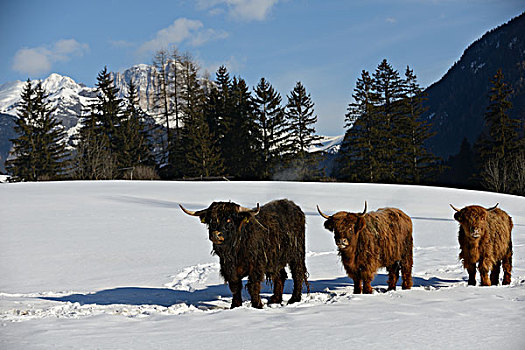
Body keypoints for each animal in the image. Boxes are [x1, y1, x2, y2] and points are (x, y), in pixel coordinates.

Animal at [180, 200, 310, 308]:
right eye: (211, 220)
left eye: (229, 220)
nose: (216, 235)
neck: (234, 251)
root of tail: (293, 206)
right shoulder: (229, 268)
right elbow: (235, 286)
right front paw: (235, 306)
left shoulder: (256, 267)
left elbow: (253, 286)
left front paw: (257, 305)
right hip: (275, 260)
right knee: (280, 276)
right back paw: (275, 300)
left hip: (297, 254)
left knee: (298, 274)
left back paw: (294, 299)